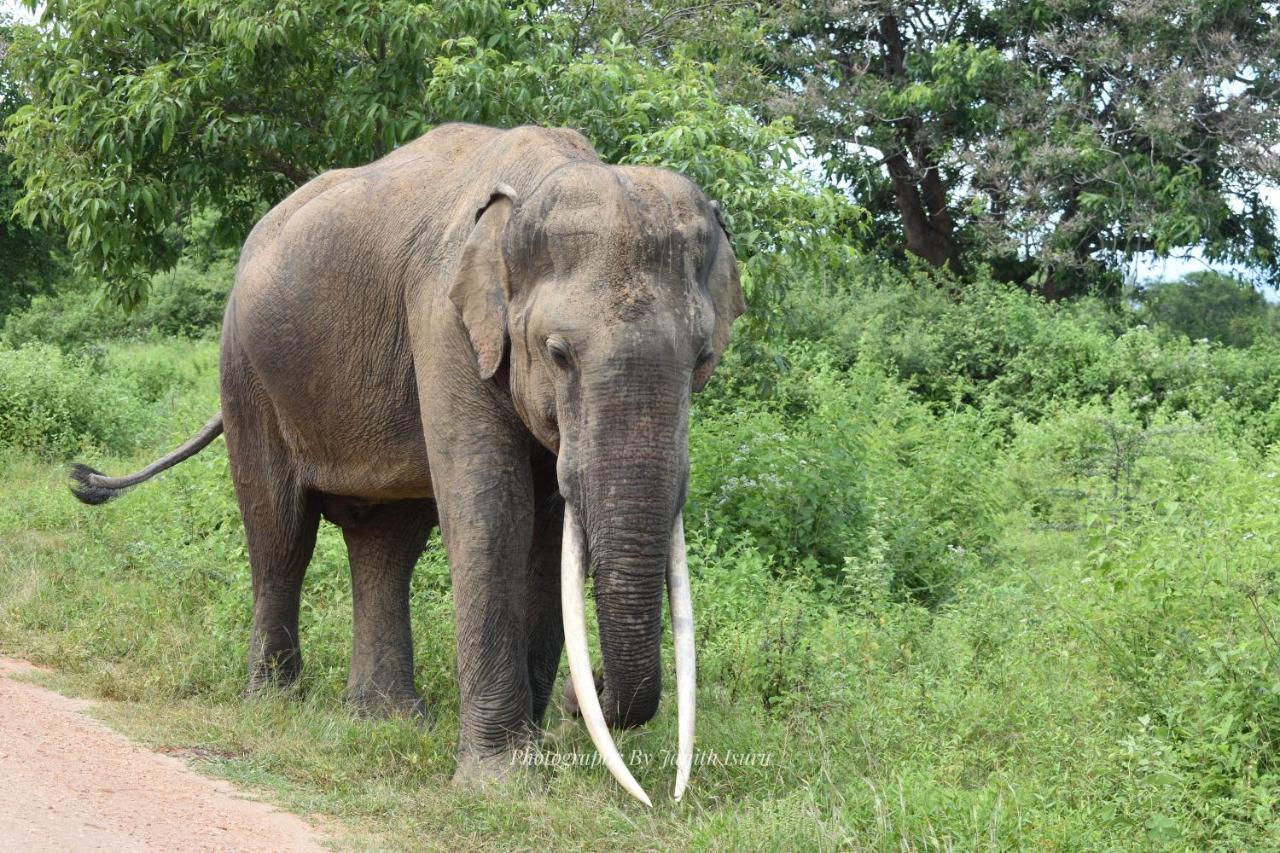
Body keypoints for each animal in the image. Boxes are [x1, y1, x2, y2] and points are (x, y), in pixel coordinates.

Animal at [70, 122, 747, 799]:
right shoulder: (444, 324)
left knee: (387, 542)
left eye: (702, 359)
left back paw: (385, 718)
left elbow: (550, 532)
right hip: (246, 371)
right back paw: (275, 705)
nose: (584, 699)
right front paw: (501, 782)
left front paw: (533, 757)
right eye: (558, 353)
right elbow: (494, 513)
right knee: (280, 533)